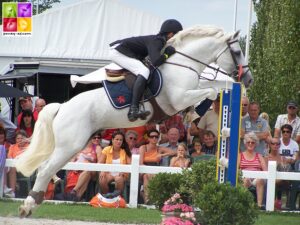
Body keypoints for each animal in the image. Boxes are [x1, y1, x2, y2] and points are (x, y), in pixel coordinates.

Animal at [15, 25, 251, 216]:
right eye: (237, 52)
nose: (248, 79)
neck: (183, 64)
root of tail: (62, 107)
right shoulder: (179, 98)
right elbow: (211, 90)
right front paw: (195, 111)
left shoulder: (189, 92)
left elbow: (210, 89)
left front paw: (193, 113)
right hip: (70, 145)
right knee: (45, 169)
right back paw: (28, 206)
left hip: (71, 145)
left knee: (46, 167)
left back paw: (34, 202)